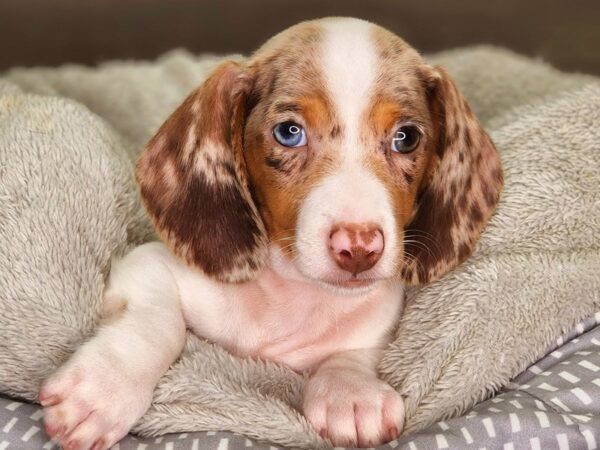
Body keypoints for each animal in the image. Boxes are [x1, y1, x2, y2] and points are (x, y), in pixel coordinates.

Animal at [39, 15, 504, 448]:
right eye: (289, 132)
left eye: (406, 138)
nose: (359, 248)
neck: (292, 294)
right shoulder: (148, 266)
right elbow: (157, 323)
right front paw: (104, 389)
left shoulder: (380, 312)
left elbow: (355, 349)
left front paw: (351, 393)